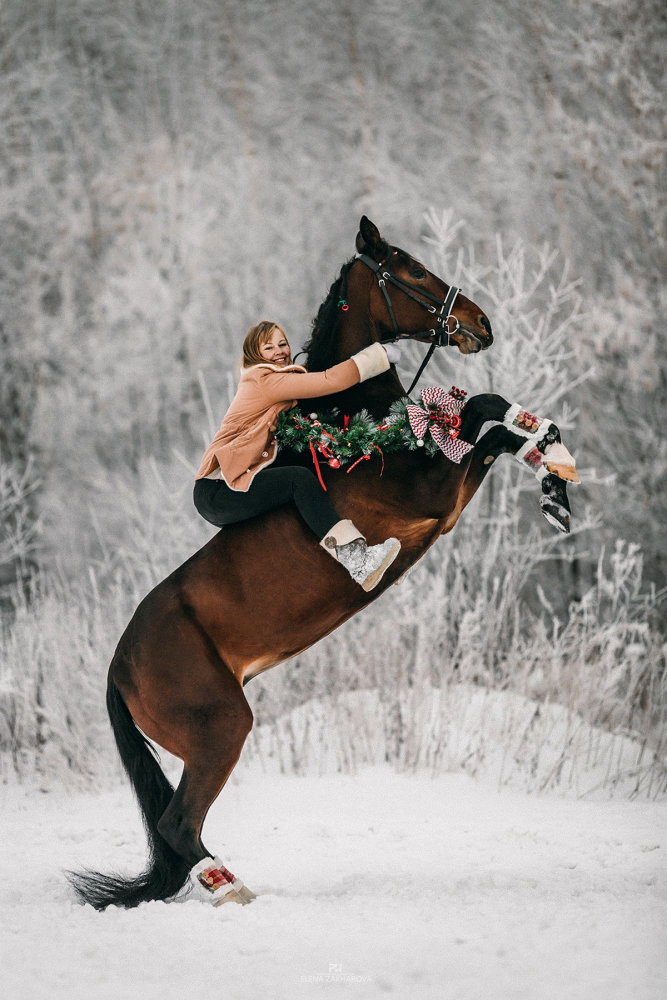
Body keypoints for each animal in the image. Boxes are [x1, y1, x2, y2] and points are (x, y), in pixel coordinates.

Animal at [69, 215, 580, 912]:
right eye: (410, 266)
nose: (481, 322)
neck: (357, 431)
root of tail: (118, 667)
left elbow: (489, 417)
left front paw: (556, 472)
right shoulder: (434, 497)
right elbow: (482, 416)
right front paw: (549, 472)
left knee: (179, 825)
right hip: (222, 727)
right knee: (178, 822)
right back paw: (235, 892)